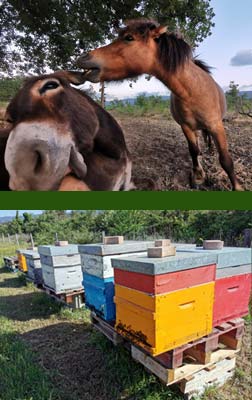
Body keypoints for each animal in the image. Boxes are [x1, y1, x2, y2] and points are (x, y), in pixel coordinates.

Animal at [77, 19, 242, 191]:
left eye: (129, 38)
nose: (83, 57)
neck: (193, 91)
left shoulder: (216, 126)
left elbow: (225, 159)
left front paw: (237, 187)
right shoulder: (186, 127)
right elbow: (193, 150)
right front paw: (198, 175)